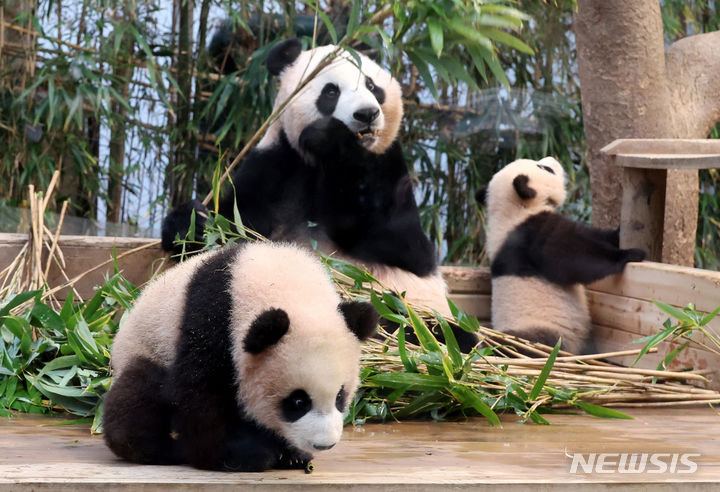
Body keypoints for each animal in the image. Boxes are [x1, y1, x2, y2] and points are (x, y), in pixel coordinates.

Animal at [105, 242, 382, 472]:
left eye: (340, 397)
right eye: (298, 401)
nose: (324, 444)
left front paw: (291, 454)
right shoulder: (211, 319)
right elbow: (200, 392)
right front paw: (234, 456)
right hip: (146, 347)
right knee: (140, 391)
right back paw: (156, 449)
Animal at [162, 39, 478, 354]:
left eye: (372, 85)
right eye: (331, 91)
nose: (367, 113)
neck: (319, 165)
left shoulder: (389, 168)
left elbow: (404, 246)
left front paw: (331, 138)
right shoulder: (276, 165)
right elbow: (227, 234)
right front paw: (190, 223)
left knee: (442, 333)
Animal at [478, 158, 648, 354]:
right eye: (545, 168)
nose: (553, 159)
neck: (511, 209)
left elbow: (593, 236)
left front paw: (620, 232)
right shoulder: (531, 234)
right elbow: (572, 257)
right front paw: (629, 254)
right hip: (538, 329)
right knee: (518, 343)